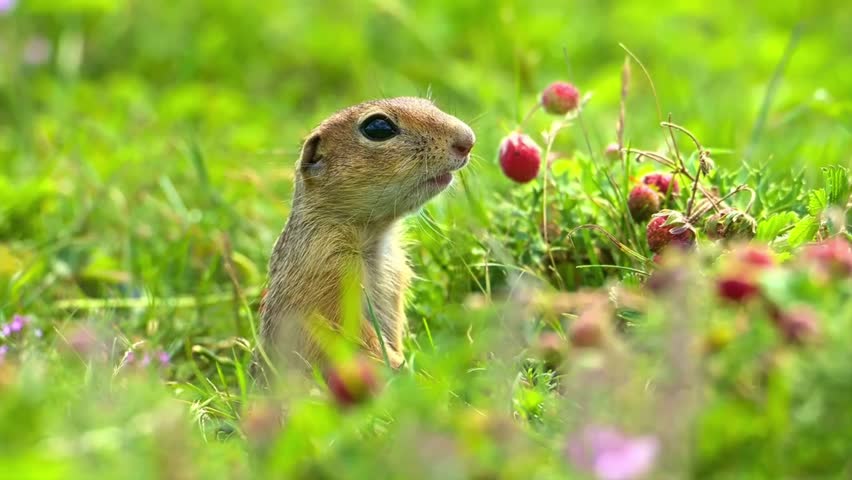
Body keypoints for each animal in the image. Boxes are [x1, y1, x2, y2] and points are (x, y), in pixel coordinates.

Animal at [252, 97, 475, 384]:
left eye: (428, 103)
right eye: (378, 127)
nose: (468, 139)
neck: (375, 236)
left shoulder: (395, 274)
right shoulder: (325, 268)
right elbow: (347, 330)